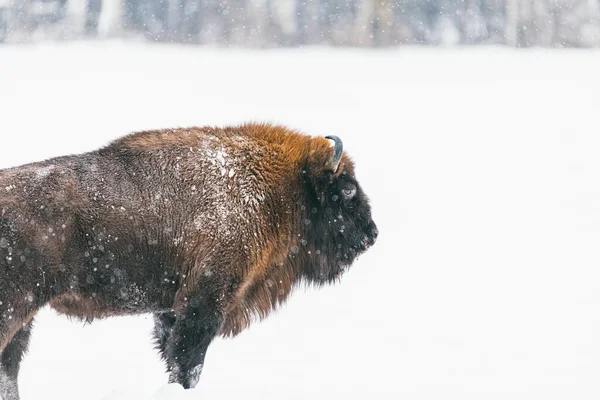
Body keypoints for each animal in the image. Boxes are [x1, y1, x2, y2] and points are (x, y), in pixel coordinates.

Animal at [0, 123, 376, 398]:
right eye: (346, 190)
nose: (372, 234)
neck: (279, 188)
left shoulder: (170, 308)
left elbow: (171, 354)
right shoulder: (205, 300)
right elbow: (187, 361)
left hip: (26, 315)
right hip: (15, 306)